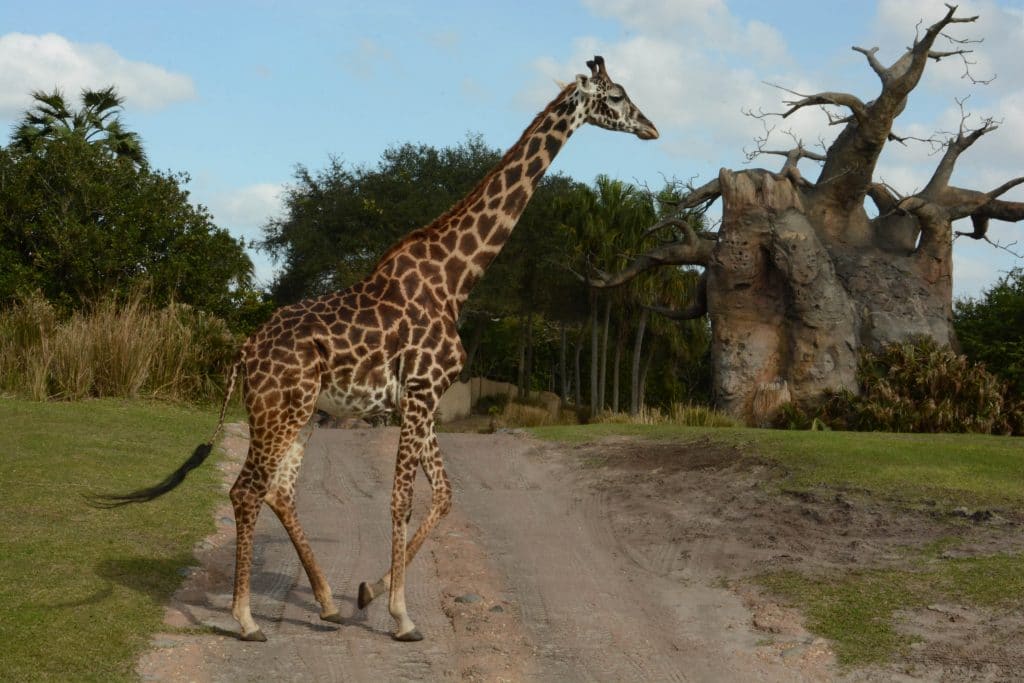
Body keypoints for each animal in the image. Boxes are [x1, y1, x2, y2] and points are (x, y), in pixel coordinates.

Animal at [96, 56, 655, 643]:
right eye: (617, 96)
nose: (651, 128)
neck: (456, 279)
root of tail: (244, 352)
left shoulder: (421, 397)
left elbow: (445, 494)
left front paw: (368, 591)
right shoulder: (422, 390)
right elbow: (403, 499)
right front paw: (402, 616)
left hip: (299, 413)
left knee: (279, 490)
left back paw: (327, 604)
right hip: (279, 410)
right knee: (247, 490)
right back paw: (247, 619)